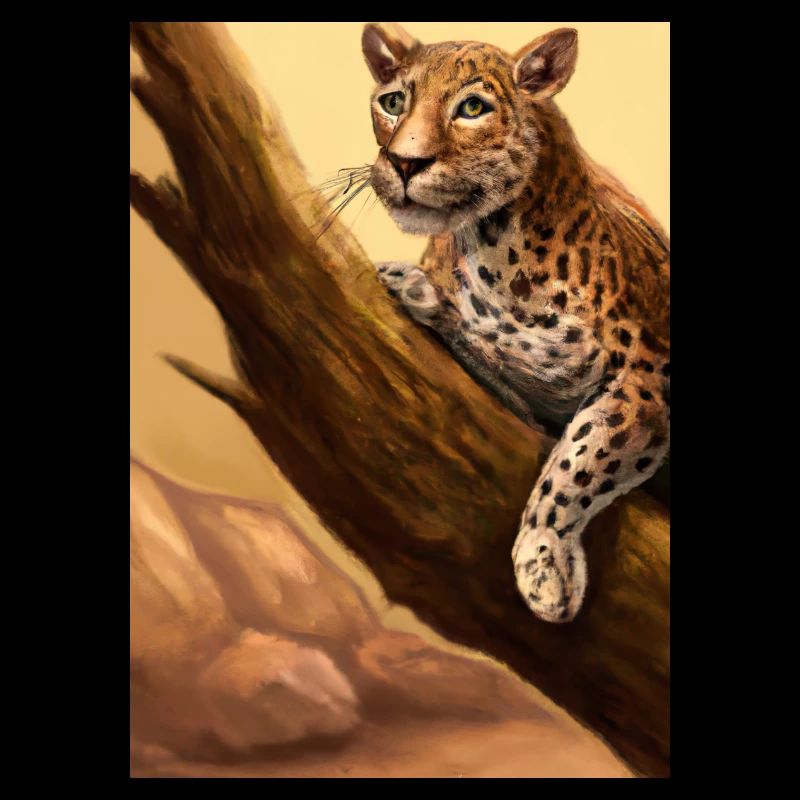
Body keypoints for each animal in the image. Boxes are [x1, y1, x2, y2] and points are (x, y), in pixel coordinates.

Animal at [356, 23, 669, 623]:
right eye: (393, 102)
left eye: (472, 108)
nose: (404, 163)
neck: (495, 255)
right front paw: (413, 287)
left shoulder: (650, 377)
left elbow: (583, 456)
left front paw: (543, 566)